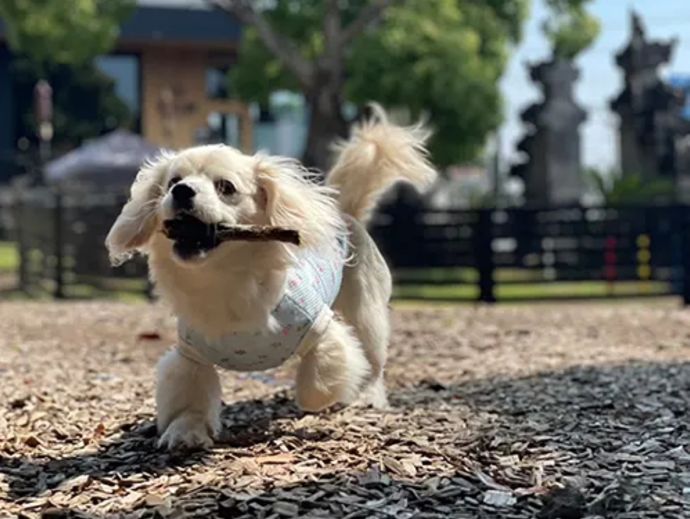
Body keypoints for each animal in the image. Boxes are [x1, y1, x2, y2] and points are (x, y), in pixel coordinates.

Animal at [105, 108, 432, 450]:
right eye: (173, 181)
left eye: (225, 187)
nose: (181, 191)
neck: (223, 282)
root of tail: (345, 214)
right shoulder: (190, 355)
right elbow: (188, 395)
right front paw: (185, 432)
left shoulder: (321, 329)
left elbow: (320, 381)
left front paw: (313, 402)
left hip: (365, 315)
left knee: (373, 363)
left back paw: (368, 396)